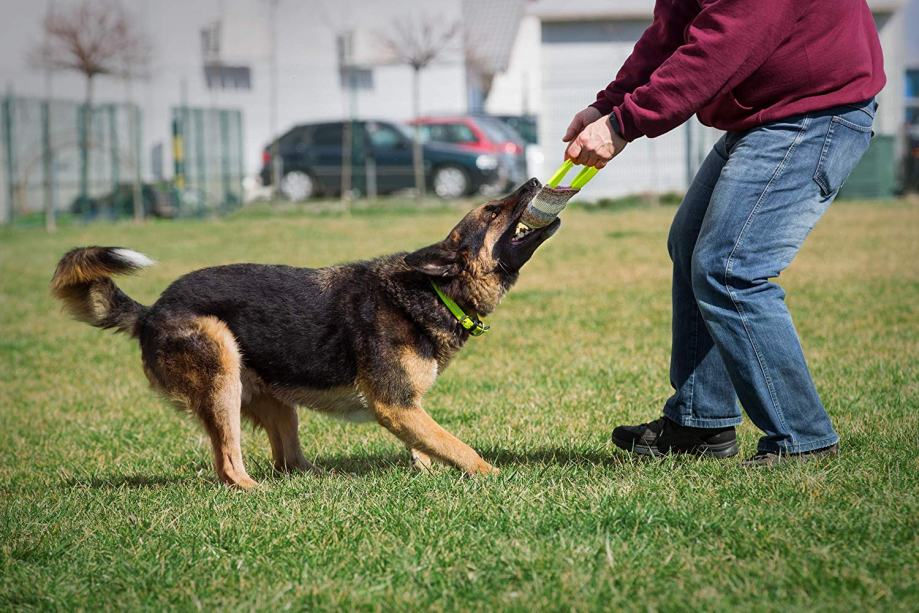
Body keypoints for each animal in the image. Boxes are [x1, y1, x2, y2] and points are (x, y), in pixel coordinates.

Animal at [51, 179, 559, 489]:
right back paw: (256, 492)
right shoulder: (395, 406)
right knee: (229, 464)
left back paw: (319, 482)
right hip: (221, 370)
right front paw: (493, 475)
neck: (433, 290)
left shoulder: (406, 409)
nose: (534, 180)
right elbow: (458, 445)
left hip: (276, 402)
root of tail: (151, 311)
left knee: (288, 461)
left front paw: (429, 473)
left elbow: (428, 446)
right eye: (492, 211)